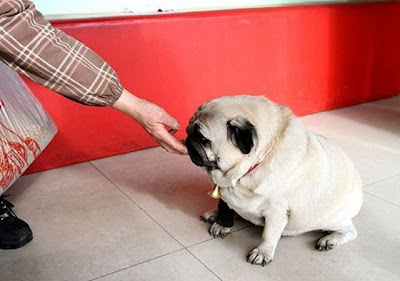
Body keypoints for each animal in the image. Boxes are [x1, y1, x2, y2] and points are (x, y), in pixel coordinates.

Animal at [184, 95, 362, 266]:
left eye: (202, 137)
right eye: (189, 127)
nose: (187, 137)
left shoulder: (276, 211)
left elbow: (268, 235)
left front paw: (263, 252)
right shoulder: (225, 192)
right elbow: (224, 209)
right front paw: (221, 223)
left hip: (327, 219)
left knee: (350, 231)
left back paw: (330, 240)